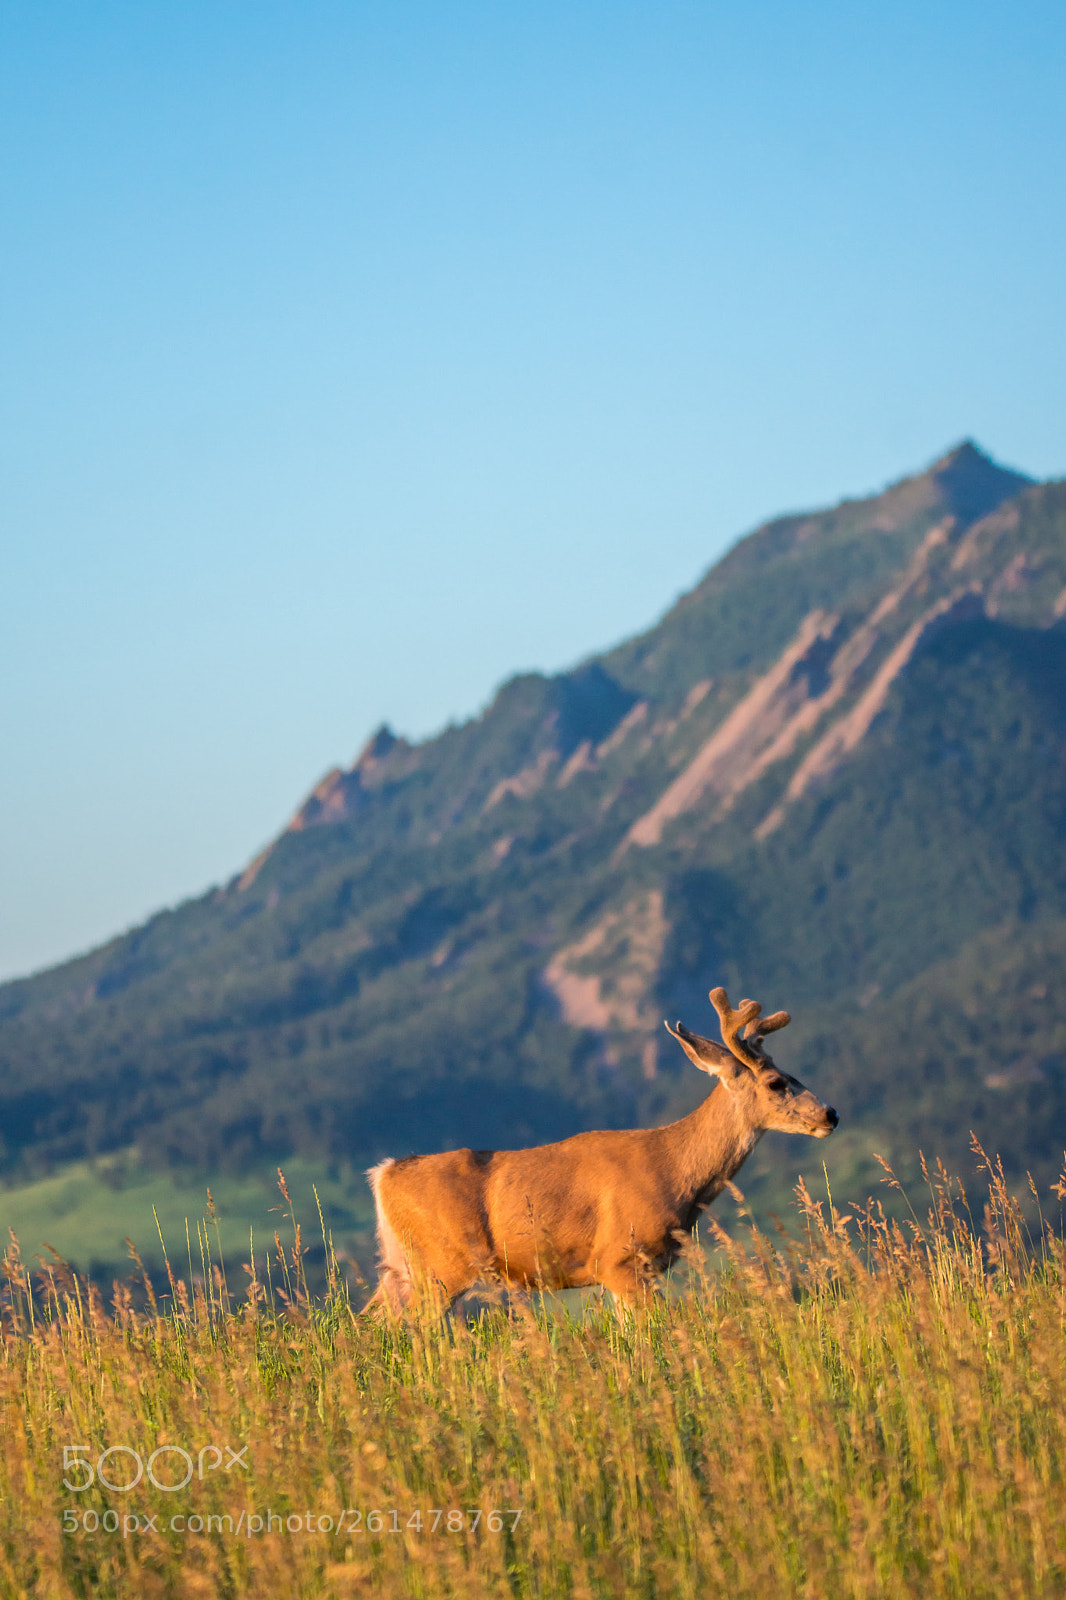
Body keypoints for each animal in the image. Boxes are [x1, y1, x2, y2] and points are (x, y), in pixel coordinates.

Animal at [361, 986, 838, 1314]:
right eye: (775, 1082)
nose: (830, 1113)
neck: (674, 1171)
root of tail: (384, 1173)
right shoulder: (619, 1259)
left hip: (400, 1266)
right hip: (441, 1265)